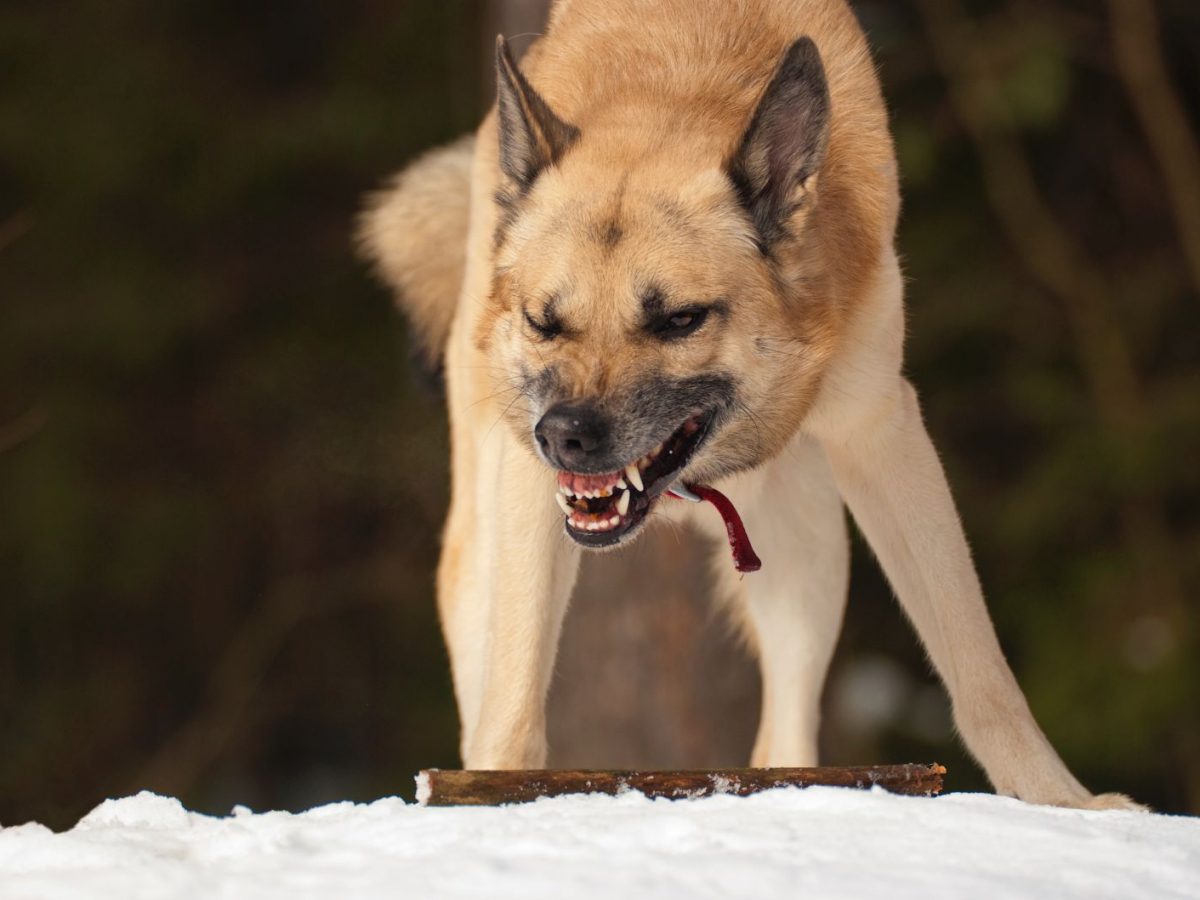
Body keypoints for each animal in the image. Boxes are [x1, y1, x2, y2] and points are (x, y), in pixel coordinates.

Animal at [360, 0, 1137, 811]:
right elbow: (512, 699)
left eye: (679, 320)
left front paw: (1065, 805)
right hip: (482, 551)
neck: (677, 73)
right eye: (546, 321)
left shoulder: (881, 432)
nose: (564, 436)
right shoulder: (527, 493)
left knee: (782, 738)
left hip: (810, 545)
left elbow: (980, 667)